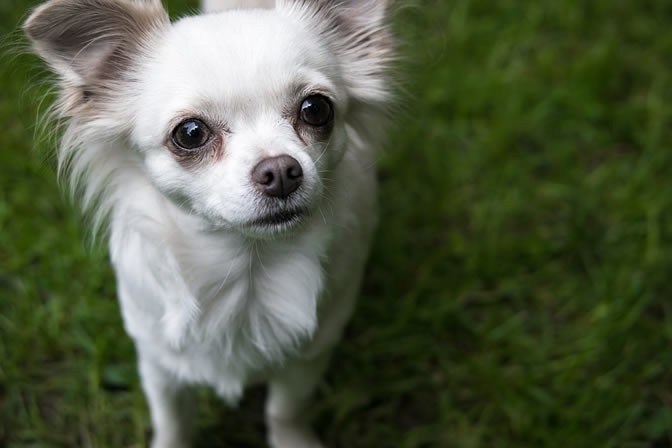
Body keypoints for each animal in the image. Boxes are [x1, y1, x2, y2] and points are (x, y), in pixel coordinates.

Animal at [25, 0, 394, 444]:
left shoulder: (310, 355)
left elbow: (284, 409)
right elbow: (172, 420)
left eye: (316, 109)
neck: (248, 269)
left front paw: (292, 439)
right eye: (190, 133)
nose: (280, 171)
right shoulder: (158, 362)